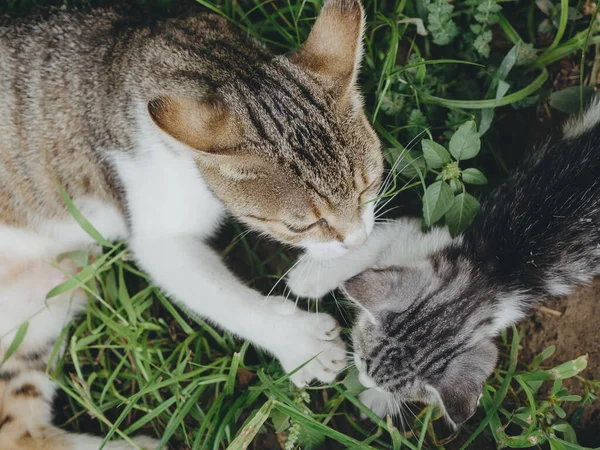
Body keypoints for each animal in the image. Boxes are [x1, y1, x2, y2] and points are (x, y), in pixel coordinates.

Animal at [0, 0, 382, 446]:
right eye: (302, 225)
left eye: (369, 185)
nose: (357, 241)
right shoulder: (154, 226)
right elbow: (222, 297)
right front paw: (300, 343)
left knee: (19, 431)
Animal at [288, 100, 600, 428]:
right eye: (361, 359)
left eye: (389, 386)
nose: (363, 379)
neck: (489, 272)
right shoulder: (420, 232)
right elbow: (369, 243)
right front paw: (308, 278)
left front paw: (377, 401)